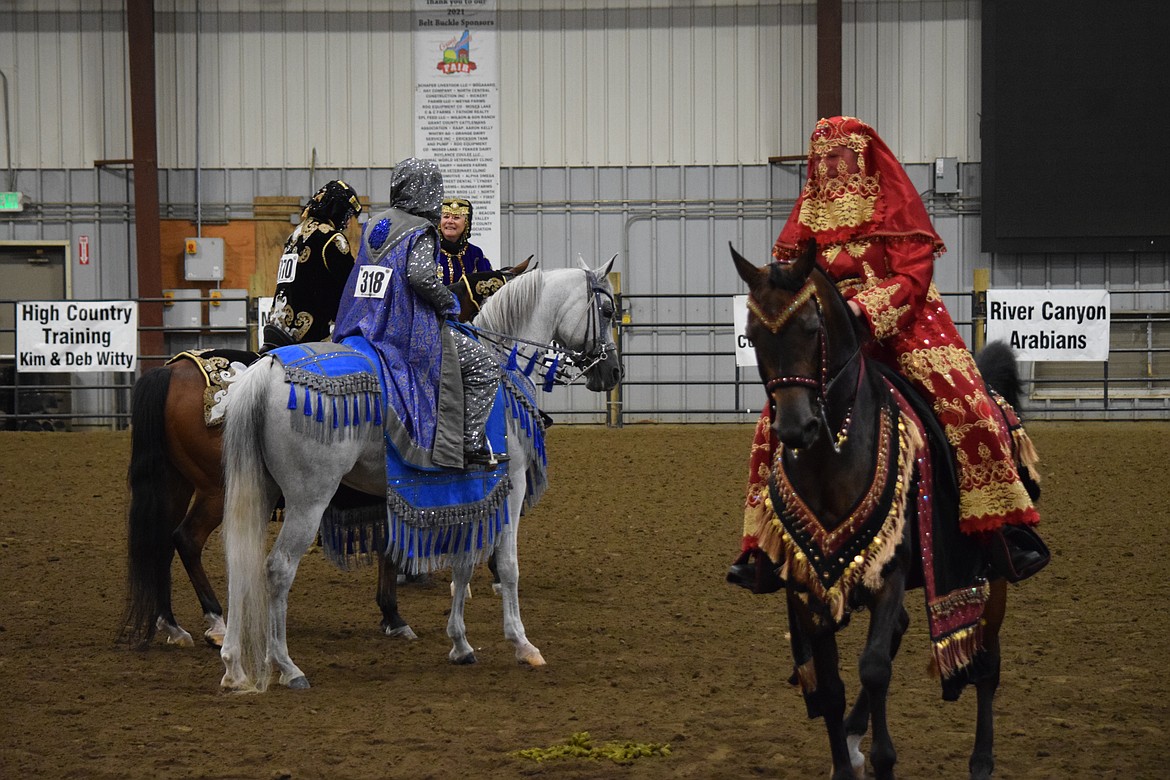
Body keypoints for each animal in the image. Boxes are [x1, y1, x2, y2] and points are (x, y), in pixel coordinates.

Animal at [117, 259, 531, 650]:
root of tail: (174, 370)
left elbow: (390, 547)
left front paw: (393, 614)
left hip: (175, 482)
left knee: (160, 542)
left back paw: (171, 625)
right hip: (217, 490)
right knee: (186, 539)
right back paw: (216, 622)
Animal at [218, 259, 622, 692]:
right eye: (607, 311)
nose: (614, 371)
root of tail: (265, 370)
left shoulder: (469, 491)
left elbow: (463, 564)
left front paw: (460, 644)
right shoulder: (510, 484)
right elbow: (508, 565)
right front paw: (522, 644)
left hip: (259, 492)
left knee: (239, 564)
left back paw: (234, 666)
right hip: (308, 500)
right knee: (278, 569)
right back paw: (287, 666)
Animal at [725, 240, 1038, 776]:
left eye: (812, 327)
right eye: (752, 334)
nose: (796, 428)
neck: (833, 457)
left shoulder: (891, 569)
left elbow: (874, 668)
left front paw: (884, 759)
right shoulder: (806, 584)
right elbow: (831, 685)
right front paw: (845, 758)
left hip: (993, 571)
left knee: (987, 661)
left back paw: (981, 759)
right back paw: (855, 732)